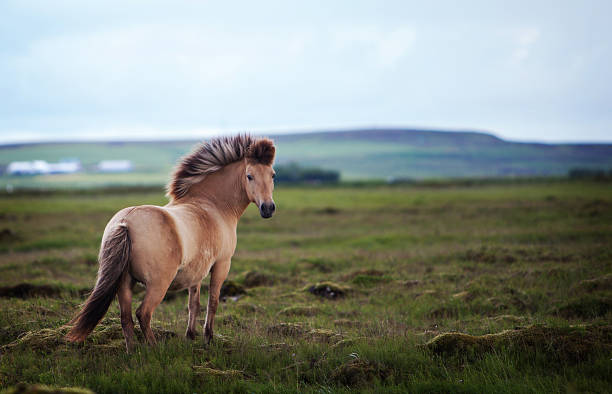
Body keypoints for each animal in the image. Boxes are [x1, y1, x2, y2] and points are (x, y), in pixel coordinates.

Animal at [65, 134, 276, 350]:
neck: (212, 206)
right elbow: (213, 302)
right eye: (249, 176)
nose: (268, 208)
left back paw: (132, 351)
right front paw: (208, 338)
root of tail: (125, 222)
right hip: (158, 284)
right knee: (143, 313)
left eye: (273, 175)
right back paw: (154, 348)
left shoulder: (196, 272)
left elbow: (194, 304)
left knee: (126, 318)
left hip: (124, 283)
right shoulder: (221, 264)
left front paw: (190, 336)